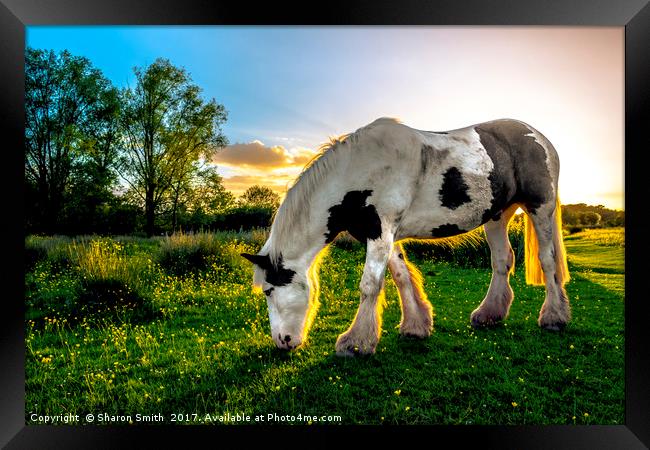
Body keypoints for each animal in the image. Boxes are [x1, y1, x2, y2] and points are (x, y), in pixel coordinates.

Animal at [240, 118, 568, 356]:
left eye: (268, 291)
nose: (282, 341)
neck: (360, 171)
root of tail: (540, 137)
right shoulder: (384, 235)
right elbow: (401, 276)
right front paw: (416, 325)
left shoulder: (380, 231)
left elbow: (370, 285)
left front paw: (356, 343)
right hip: (498, 216)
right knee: (502, 260)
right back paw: (489, 314)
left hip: (540, 207)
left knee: (548, 260)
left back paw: (554, 317)